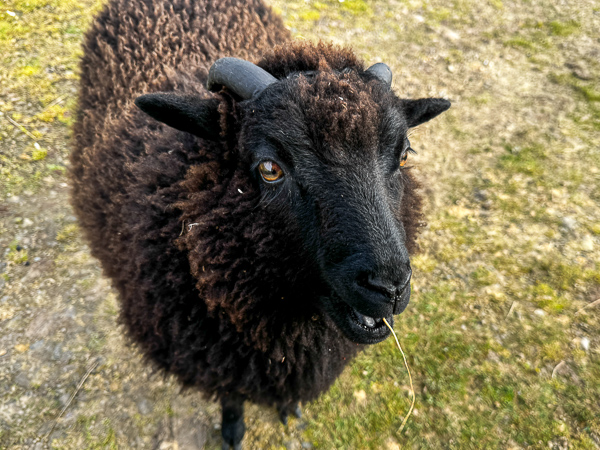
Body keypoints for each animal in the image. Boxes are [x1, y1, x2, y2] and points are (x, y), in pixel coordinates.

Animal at [69, 0, 450, 446]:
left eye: (403, 155)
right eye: (270, 168)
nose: (389, 288)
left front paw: (288, 408)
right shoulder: (217, 360)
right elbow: (232, 396)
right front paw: (233, 430)